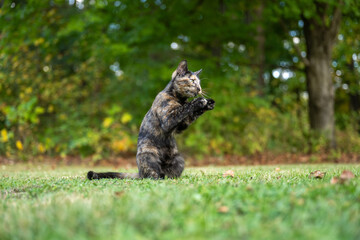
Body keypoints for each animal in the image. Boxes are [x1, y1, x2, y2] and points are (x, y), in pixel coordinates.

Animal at [87, 60, 215, 180]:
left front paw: (208, 103)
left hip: (179, 159)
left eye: (199, 82)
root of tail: (139, 172)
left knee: (167, 174)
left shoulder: (180, 126)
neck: (179, 99)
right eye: (192, 80)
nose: (199, 89)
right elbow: (184, 108)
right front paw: (199, 101)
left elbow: (190, 115)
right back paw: (156, 178)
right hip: (149, 156)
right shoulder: (168, 120)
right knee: (150, 175)